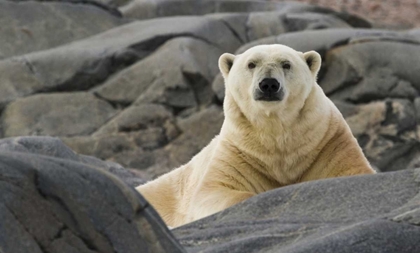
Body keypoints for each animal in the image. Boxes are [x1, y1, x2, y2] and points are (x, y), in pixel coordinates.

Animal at [136, 44, 376, 227]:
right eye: (251, 64)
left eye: (286, 64)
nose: (268, 84)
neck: (275, 132)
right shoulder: (238, 151)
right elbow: (213, 191)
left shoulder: (329, 141)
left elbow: (353, 171)